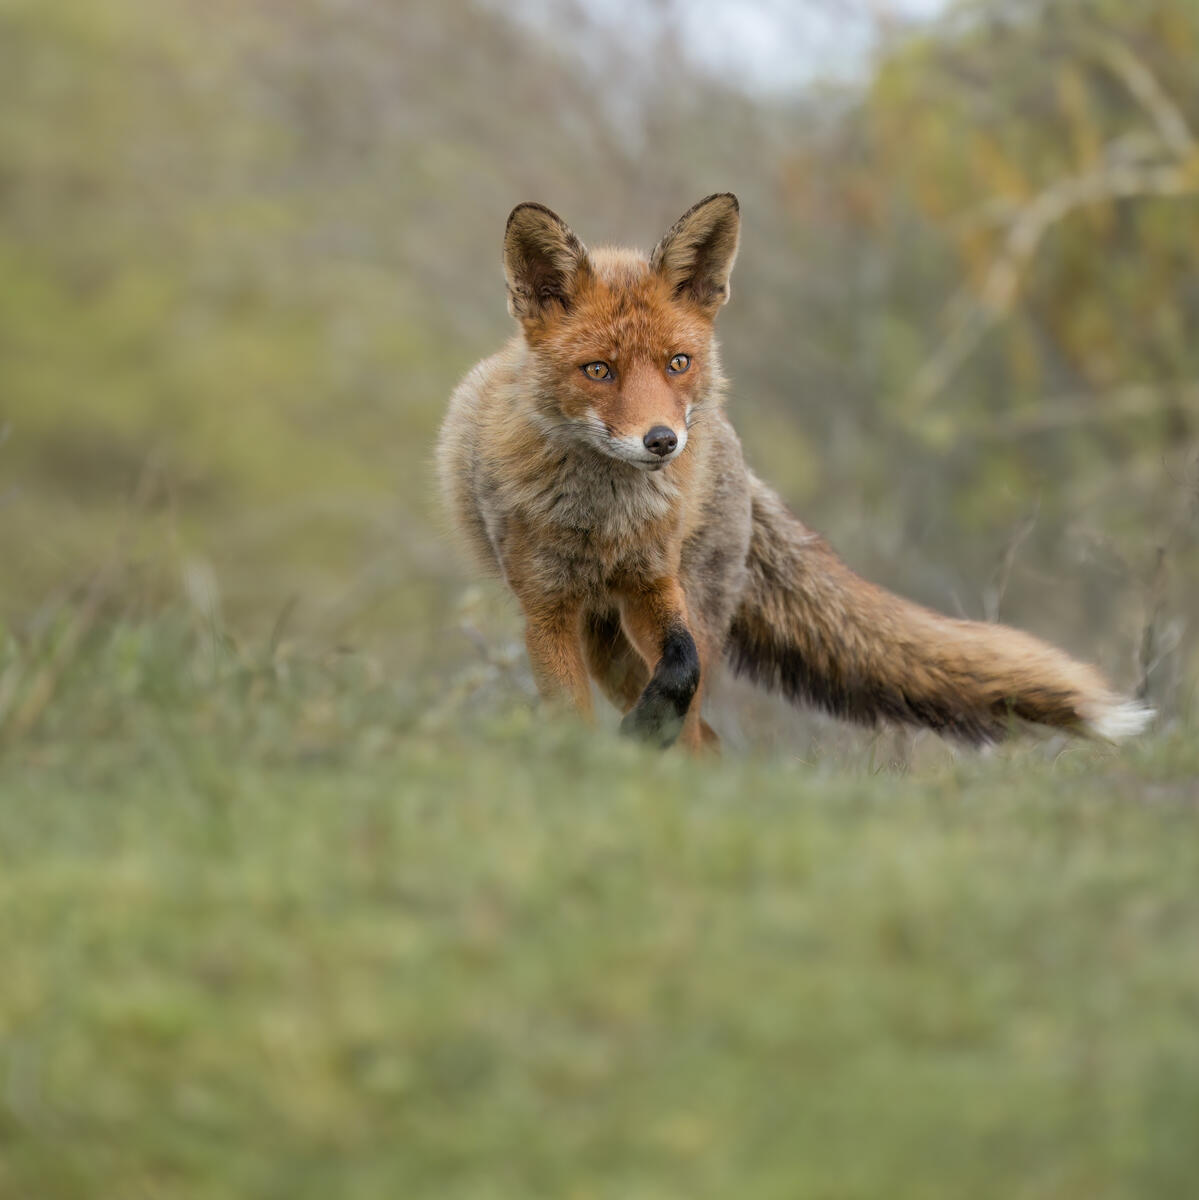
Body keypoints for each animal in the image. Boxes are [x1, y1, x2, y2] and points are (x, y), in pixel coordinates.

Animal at [437, 193, 1152, 752]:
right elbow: (567, 719)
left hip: (668, 620)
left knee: (700, 727)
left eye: (676, 363)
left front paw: (639, 736)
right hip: (602, 645)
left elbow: (680, 665)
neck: (603, 521)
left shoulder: (653, 585)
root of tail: (739, 460)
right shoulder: (546, 611)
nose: (663, 441)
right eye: (598, 371)